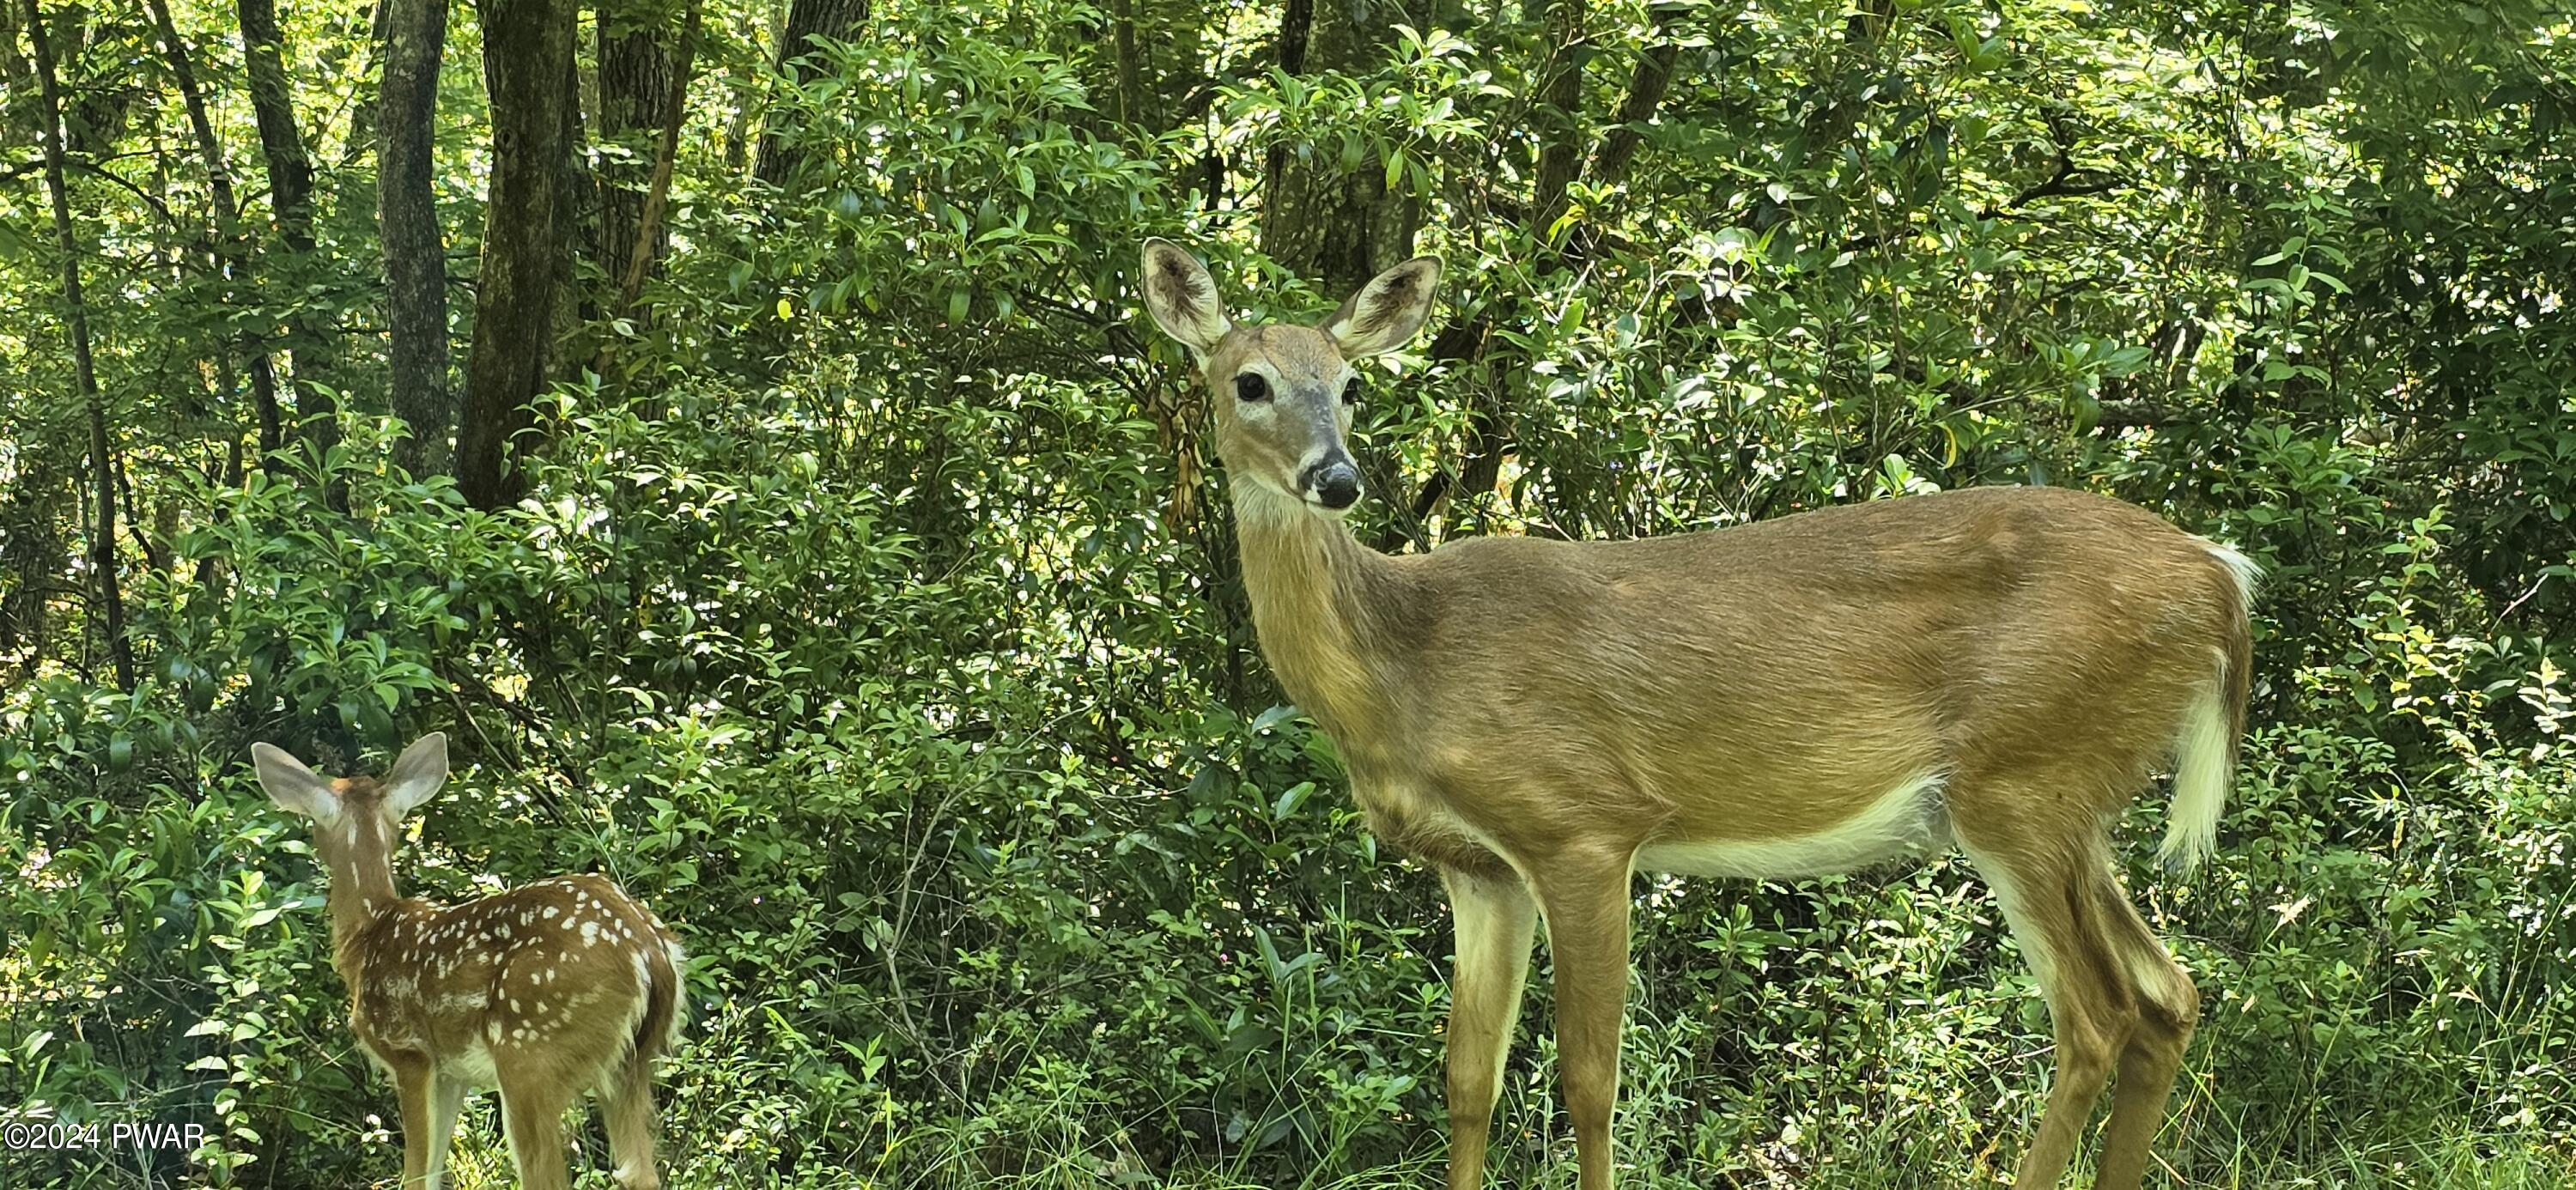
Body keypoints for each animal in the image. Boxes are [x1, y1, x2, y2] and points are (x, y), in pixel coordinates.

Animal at [251, 737, 685, 1190]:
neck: (370, 932)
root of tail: (650, 953)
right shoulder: (452, 1073)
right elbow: (435, 1168)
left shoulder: (409, 1052)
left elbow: (416, 1173)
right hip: (634, 1063)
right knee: (641, 1172)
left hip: (531, 1052)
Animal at [1149, 237, 2257, 1185]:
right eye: (1250, 382)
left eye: (1349, 386)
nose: (1335, 478)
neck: (1407, 662)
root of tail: (2222, 577)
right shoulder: (1479, 869)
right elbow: (1468, 1080)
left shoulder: (1585, 824)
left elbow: (1589, 1083)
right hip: (2071, 802)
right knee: (2170, 994)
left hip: (2023, 779)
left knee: (2099, 1017)